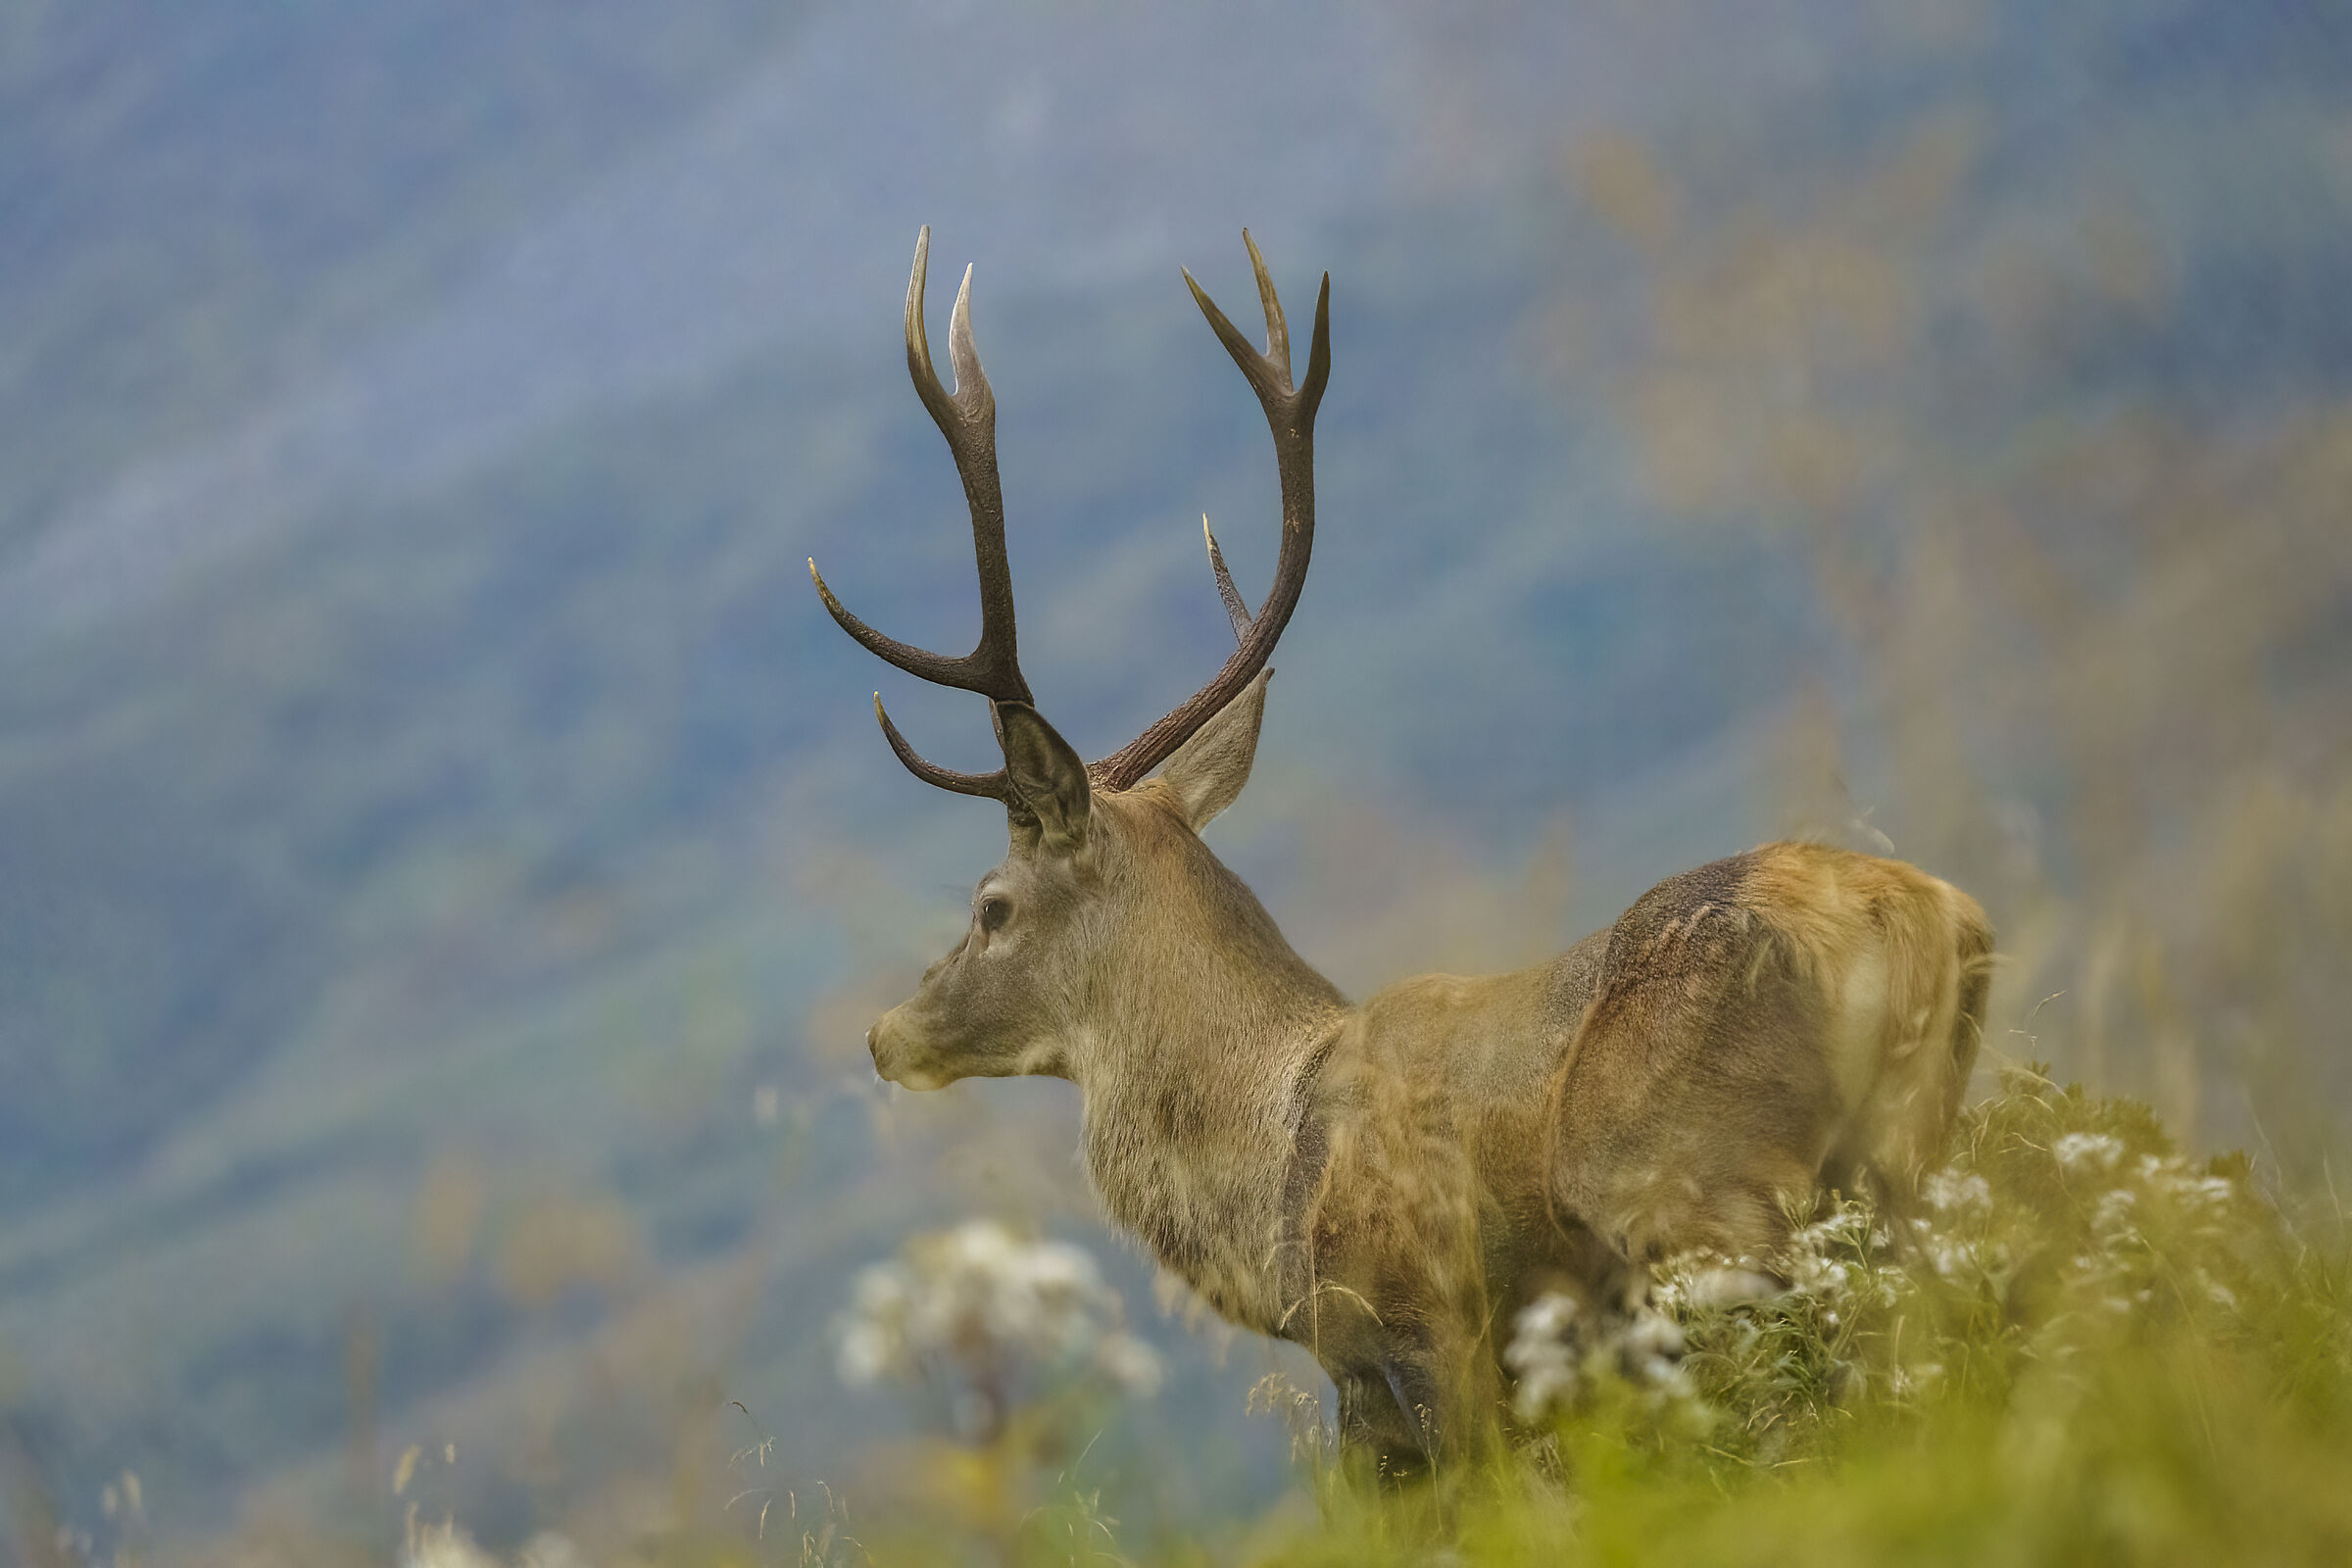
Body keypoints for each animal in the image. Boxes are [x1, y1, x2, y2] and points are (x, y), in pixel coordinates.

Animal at [810, 228, 1995, 1475]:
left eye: (990, 903)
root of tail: (1920, 919)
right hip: (1910, 1151)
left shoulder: (1415, 1333)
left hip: (1708, 1194)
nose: (887, 1032)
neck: (1273, 1179)